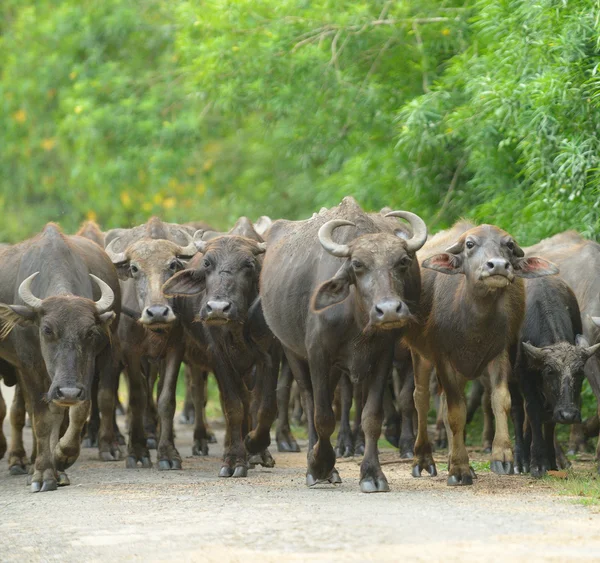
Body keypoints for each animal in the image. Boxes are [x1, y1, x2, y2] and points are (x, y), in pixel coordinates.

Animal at [0, 225, 120, 494]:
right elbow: (41, 420)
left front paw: (62, 457)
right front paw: (42, 473)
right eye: (47, 329)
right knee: (22, 411)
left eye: (90, 332)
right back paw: (21, 461)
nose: (68, 391)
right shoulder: (29, 368)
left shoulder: (86, 367)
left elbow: (77, 411)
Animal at [103, 217, 197, 472]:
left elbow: (166, 399)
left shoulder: (176, 349)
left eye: (172, 265)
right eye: (135, 269)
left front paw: (168, 453)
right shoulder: (130, 352)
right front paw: (137, 451)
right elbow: (137, 397)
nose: (157, 312)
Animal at [162, 218, 278, 478]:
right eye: (207, 263)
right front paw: (234, 460)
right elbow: (233, 406)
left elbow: (264, 407)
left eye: (249, 264)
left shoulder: (270, 355)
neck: (237, 327)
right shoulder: (217, 355)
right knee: (202, 394)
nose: (217, 308)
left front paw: (255, 445)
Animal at [258, 198, 426, 494]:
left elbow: (371, 416)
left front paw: (372, 474)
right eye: (357, 264)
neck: (356, 319)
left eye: (403, 262)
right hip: (292, 352)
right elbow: (323, 416)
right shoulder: (317, 354)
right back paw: (317, 461)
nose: (389, 310)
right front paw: (320, 465)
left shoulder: (382, 356)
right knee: (309, 400)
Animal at [406, 223, 560, 486]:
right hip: (421, 355)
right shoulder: (443, 358)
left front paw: (502, 456)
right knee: (422, 398)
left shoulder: (499, 354)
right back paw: (424, 461)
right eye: (470, 244)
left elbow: (500, 400)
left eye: (509, 244)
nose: (497, 266)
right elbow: (456, 412)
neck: (474, 324)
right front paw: (459, 469)